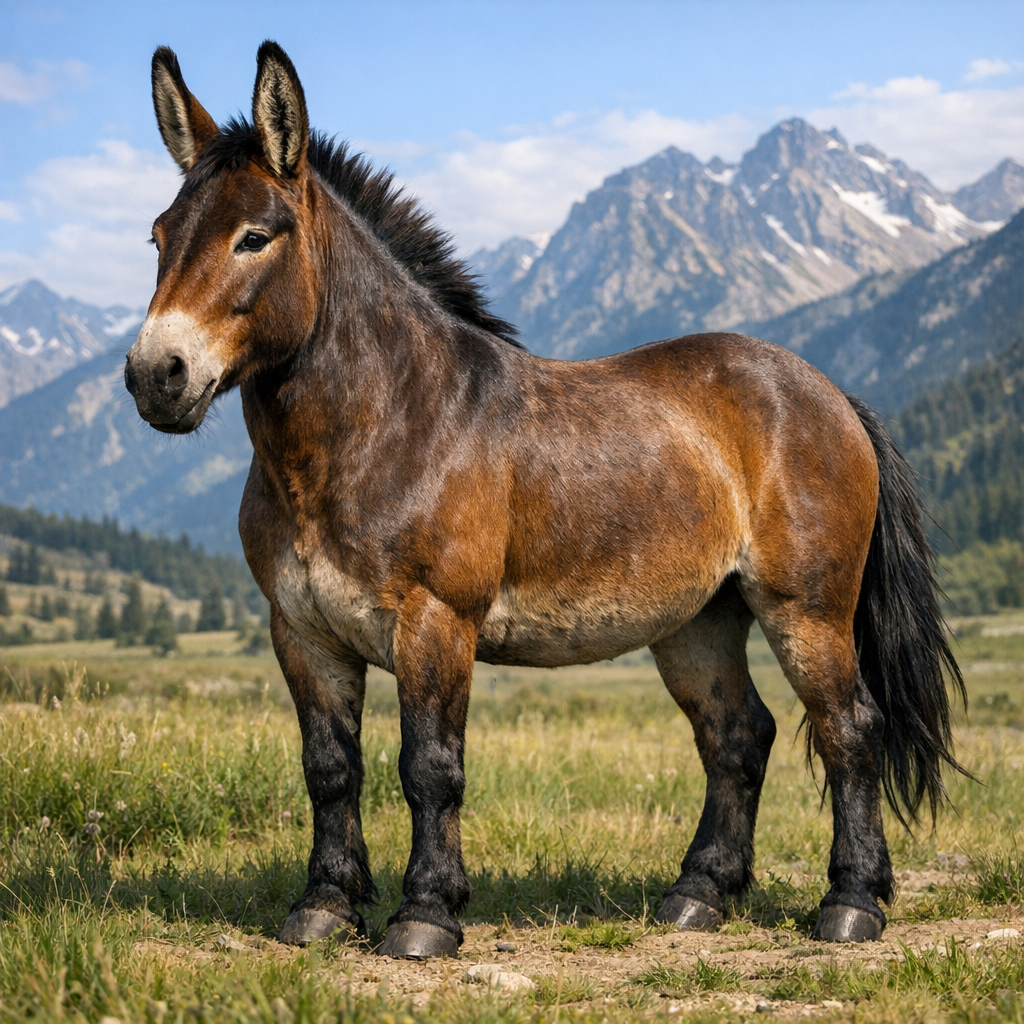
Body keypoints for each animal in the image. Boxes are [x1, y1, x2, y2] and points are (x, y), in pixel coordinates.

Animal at [125, 41, 966, 959]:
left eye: (254, 236)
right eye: (158, 235)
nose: (155, 375)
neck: (385, 424)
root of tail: (826, 391)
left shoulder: (436, 623)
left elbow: (430, 769)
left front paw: (426, 915)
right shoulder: (303, 633)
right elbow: (330, 770)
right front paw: (325, 907)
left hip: (806, 612)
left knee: (850, 730)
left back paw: (851, 905)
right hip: (698, 622)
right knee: (738, 738)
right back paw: (699, 895)